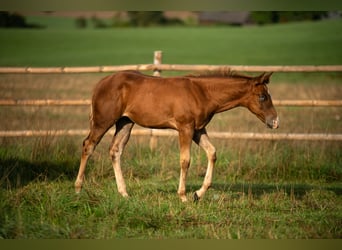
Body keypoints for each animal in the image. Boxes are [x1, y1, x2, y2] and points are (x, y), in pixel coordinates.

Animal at [75, 70, 278, 201]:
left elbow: (212, 152)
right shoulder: (185, 128)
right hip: (104, 120)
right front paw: (183, 196)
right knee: (88, 145)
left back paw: (124, 193)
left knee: (115, 150)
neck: (202, 93)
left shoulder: (198, 129)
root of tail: (100, 83)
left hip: (125, 122)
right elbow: (185, 160)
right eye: (262, 96)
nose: (275, 122)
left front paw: (198, 194)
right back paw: (78, 189)